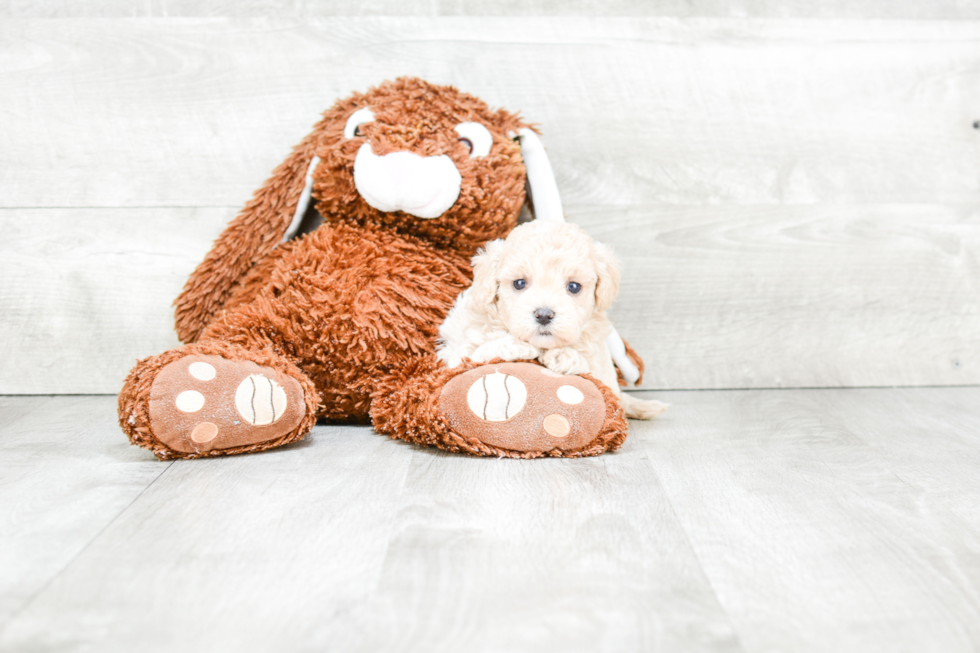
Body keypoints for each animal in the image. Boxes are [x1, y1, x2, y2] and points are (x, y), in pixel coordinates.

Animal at [436, 222, 668, 420]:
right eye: (519, 283)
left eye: (573, 286)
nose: (544, 315)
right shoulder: (457, 354)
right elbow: (479, 352)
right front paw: (516, 346)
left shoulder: (604, 370)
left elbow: (595, 375)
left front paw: (564, 356)